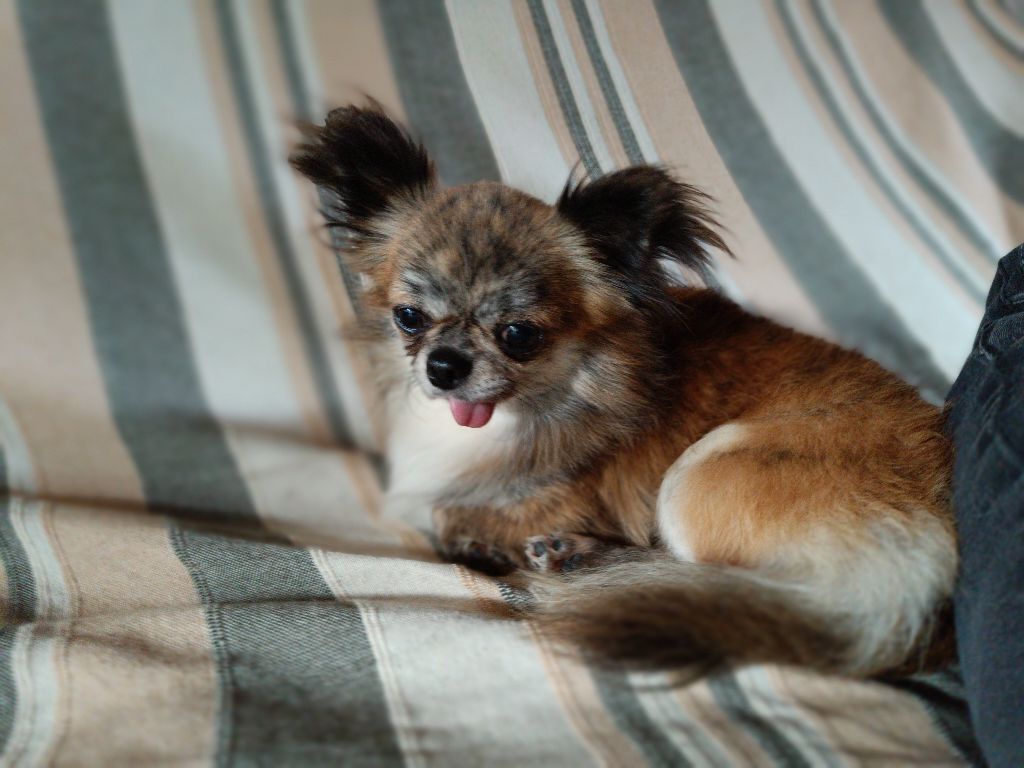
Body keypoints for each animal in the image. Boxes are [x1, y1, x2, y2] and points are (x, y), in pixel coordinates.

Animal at [290, 105, 958, 675]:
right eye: (409, 318)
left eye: (518, 335)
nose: (444, 365)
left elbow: (445, 511)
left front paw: (481, 537)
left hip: (703, 474)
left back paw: (584, 561)